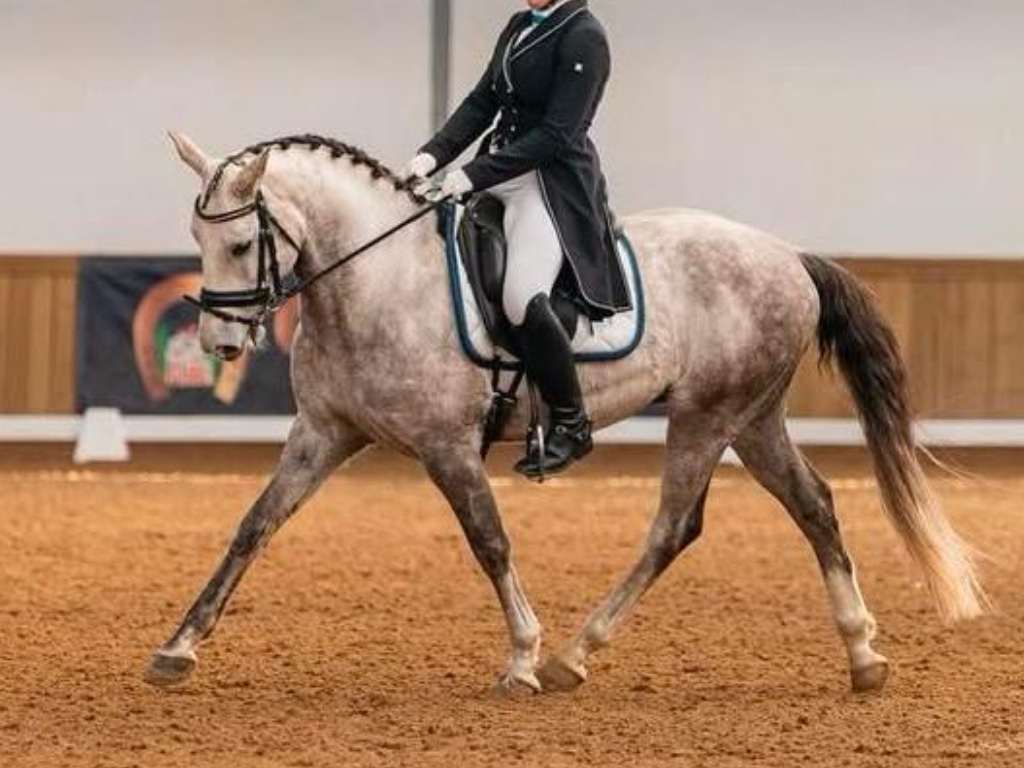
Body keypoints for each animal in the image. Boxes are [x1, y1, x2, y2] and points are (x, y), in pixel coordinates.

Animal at [147, 131, 985, 695]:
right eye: (195, 237)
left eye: (242, 241)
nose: (221, 342)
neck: (377, 280)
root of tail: (787, 254)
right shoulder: (322, 434)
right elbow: (253, 527)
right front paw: (178, 648)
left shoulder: (447, 446)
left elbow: (489, 541)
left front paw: (521, 656)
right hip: (752, 418)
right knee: (813, 505)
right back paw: (863, 655)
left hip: (708, 415)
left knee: (674, 526)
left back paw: (573, 654)